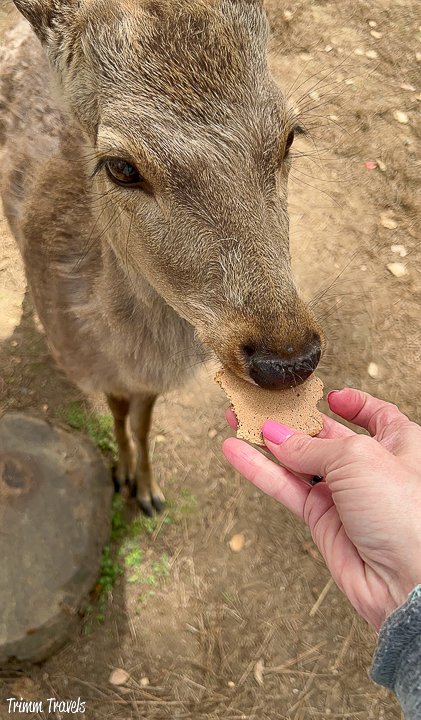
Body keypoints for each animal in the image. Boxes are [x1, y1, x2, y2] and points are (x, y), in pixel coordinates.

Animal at [0, 0, 324, 516]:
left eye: (290, 134)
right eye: (120, 166)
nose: (289, 360)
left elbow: (145, 420)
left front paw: (150, 491)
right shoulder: (99, 372)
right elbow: (118, 416)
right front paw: (123, 478)